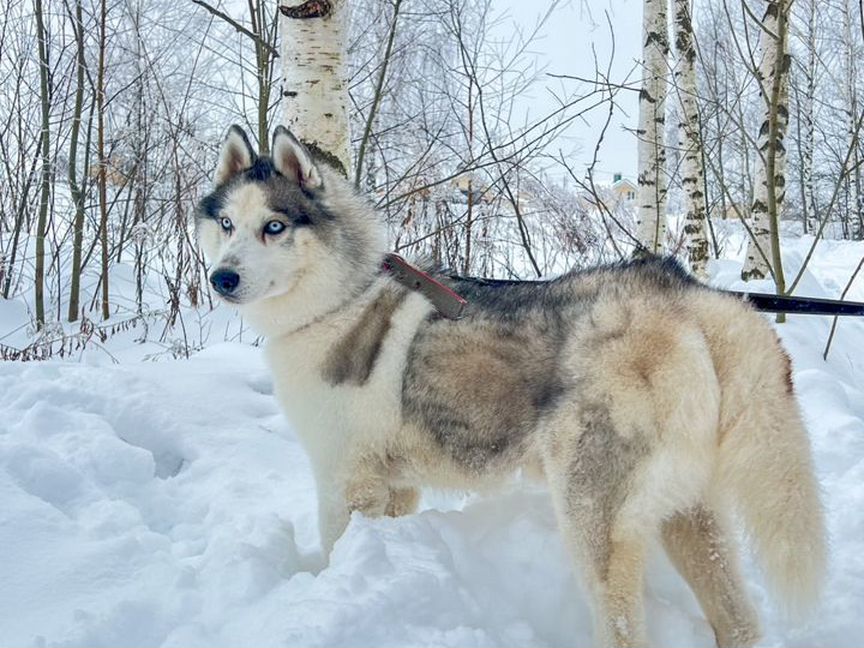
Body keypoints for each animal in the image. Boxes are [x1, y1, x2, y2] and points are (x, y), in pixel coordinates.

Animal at [196, 126, 824, 648]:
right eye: (226, 225)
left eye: (274, 227)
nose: (221, 277)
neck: (338, 302)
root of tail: (690, 296)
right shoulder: (395, 490)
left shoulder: (344, 485)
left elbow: (335, 554)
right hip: (689, 513)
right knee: (739, 621)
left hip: (592, 517)